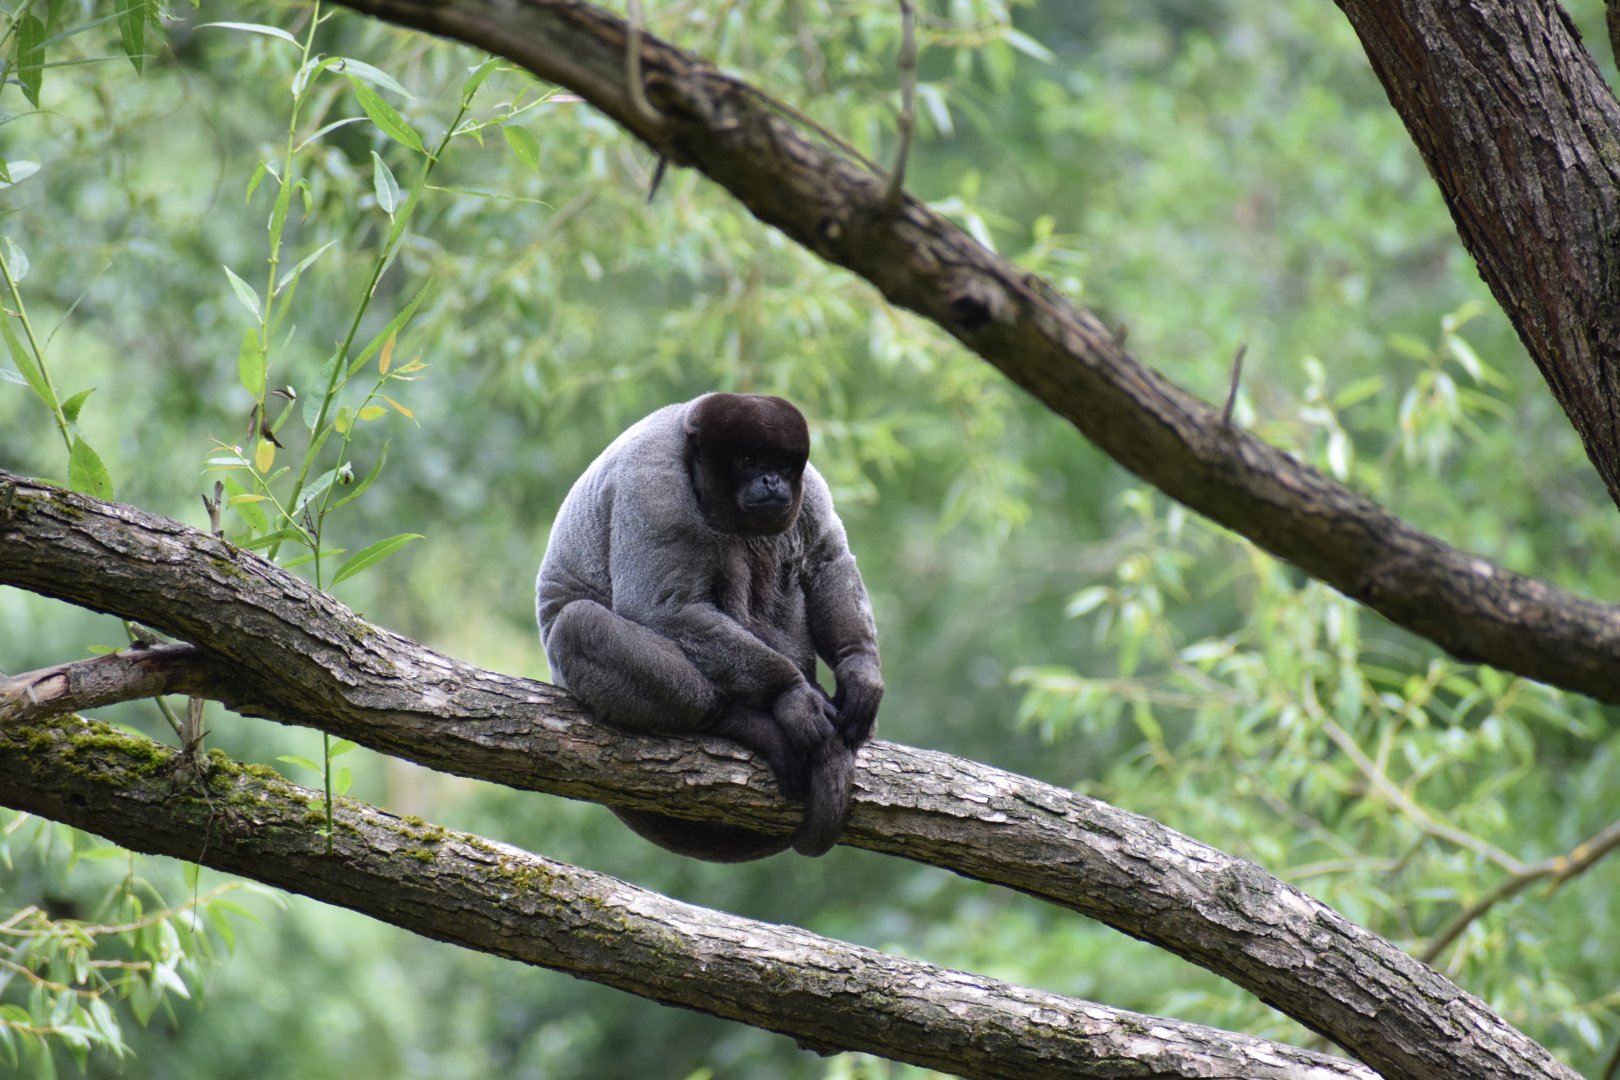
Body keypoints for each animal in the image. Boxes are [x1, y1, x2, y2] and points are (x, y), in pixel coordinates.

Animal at [536, 393, 883, 861]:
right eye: (749, 460)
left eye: (781, 463)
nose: (772, 480)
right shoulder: (653, 487)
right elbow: (664, 609)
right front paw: (792, 695)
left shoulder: (808, 485)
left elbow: (827, 559)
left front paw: (859, 670)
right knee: (578, 625)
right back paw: (740, 719)